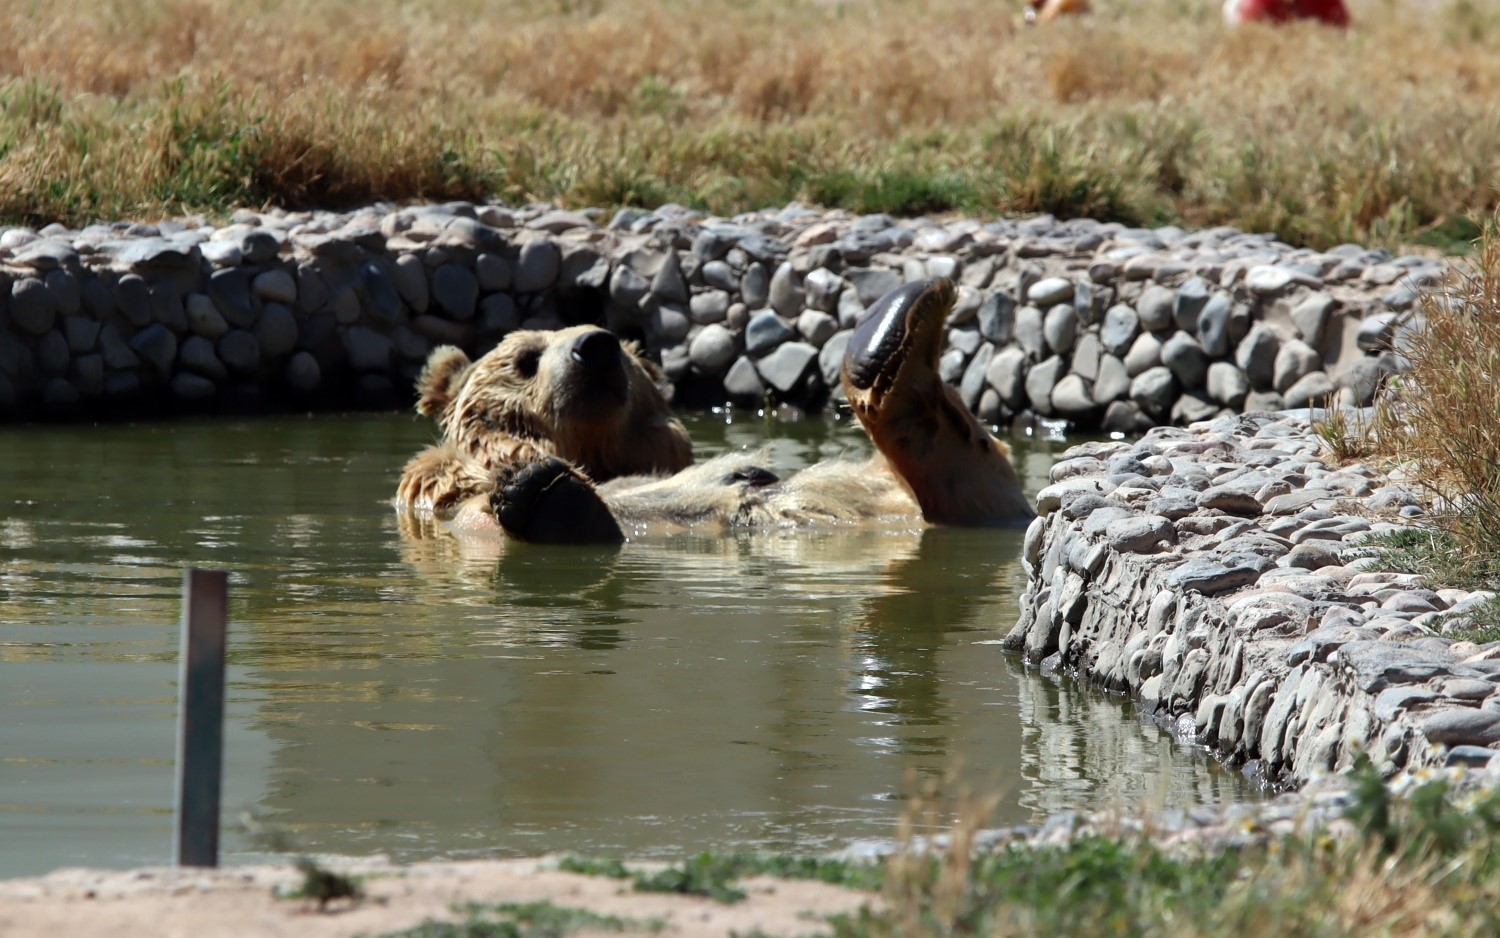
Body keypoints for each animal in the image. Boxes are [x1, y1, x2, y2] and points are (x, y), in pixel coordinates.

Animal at [393, 277, 1038, 540]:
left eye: (621, 348)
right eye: (526, 357)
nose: (595, 346)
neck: (594, 456)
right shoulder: (450, 498)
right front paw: (544, 488)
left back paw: (897, 327)